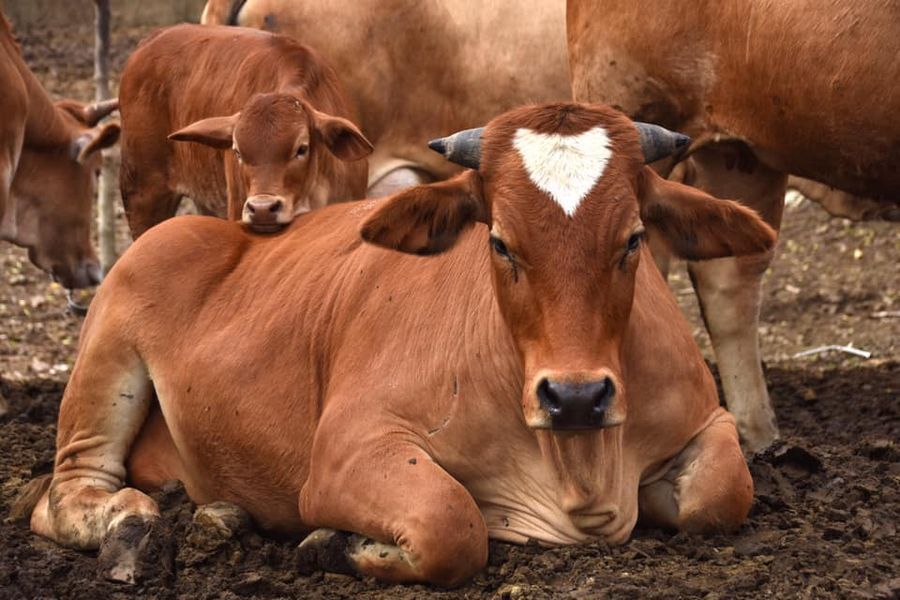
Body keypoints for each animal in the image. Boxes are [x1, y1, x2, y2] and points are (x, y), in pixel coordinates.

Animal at [29, 103, 772, 584]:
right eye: (500, 241)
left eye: (634, 239)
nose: (577, 397)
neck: (578, 464)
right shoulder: (348, 450)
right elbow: (453, 524)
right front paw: (332, 545)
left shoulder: (706, 417)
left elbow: (723, 494)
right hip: (108, 351)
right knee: (67, 490)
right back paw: (131, 527)